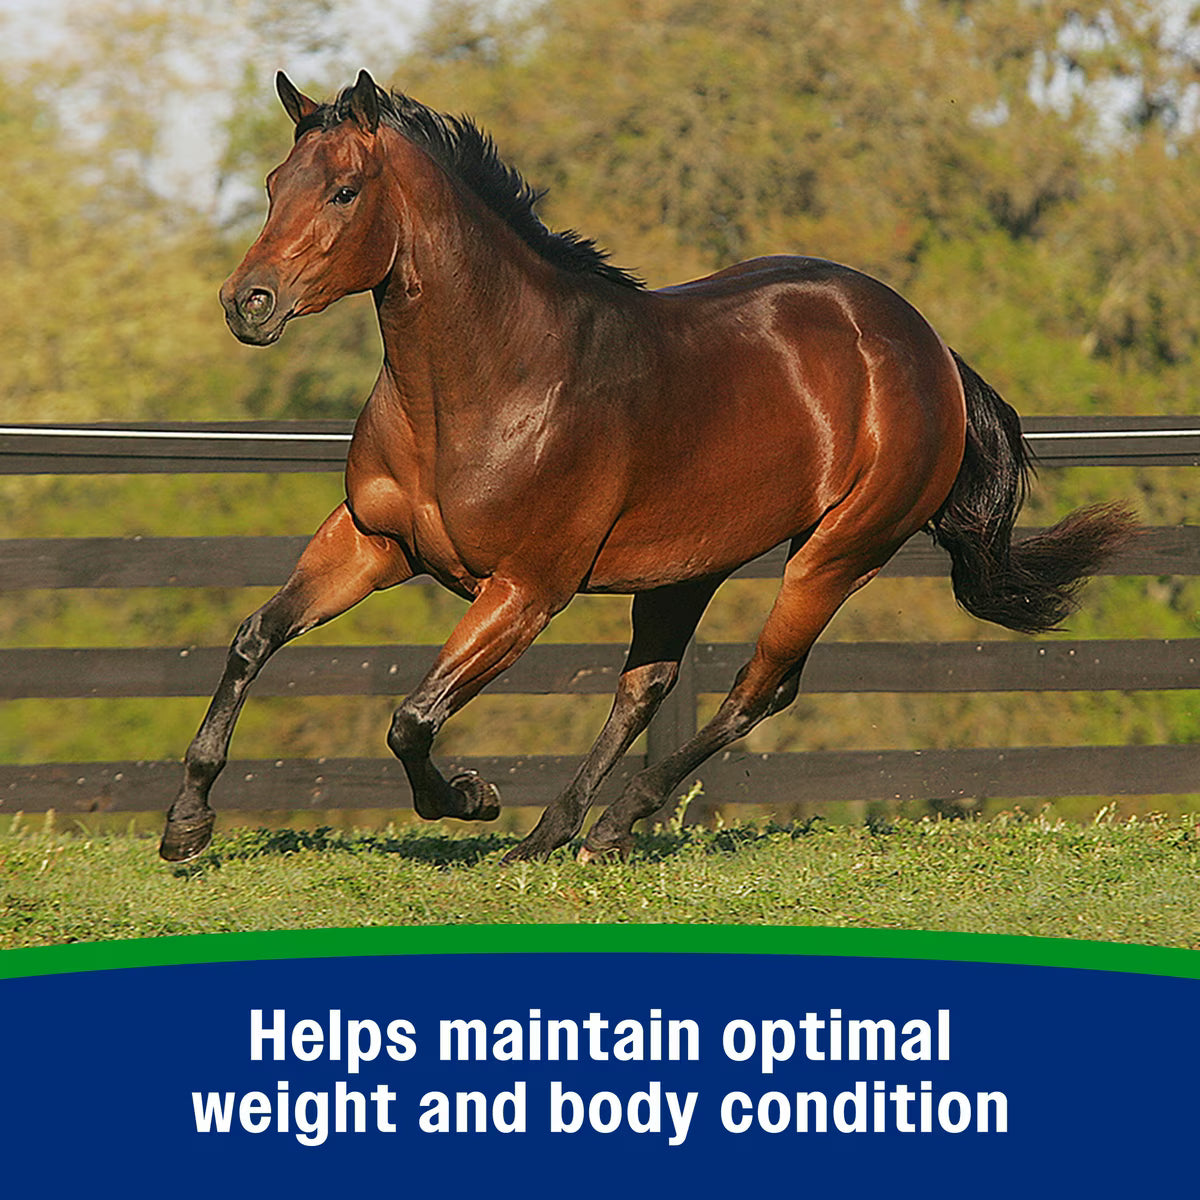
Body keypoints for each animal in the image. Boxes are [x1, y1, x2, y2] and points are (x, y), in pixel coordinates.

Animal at [159, 70, 1135, 864]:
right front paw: (186, 827)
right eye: (274, 184)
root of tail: (926, 346)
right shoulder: (373, 542)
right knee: (650, 687)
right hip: (688, 565)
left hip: (836, 554)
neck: (491, 380)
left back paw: (609, 826)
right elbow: (254, 638)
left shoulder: (526, 589)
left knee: (757, 688)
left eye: (344, 190)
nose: (247, 303)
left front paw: (470, 798)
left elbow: (412, 720)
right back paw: (555, 835)